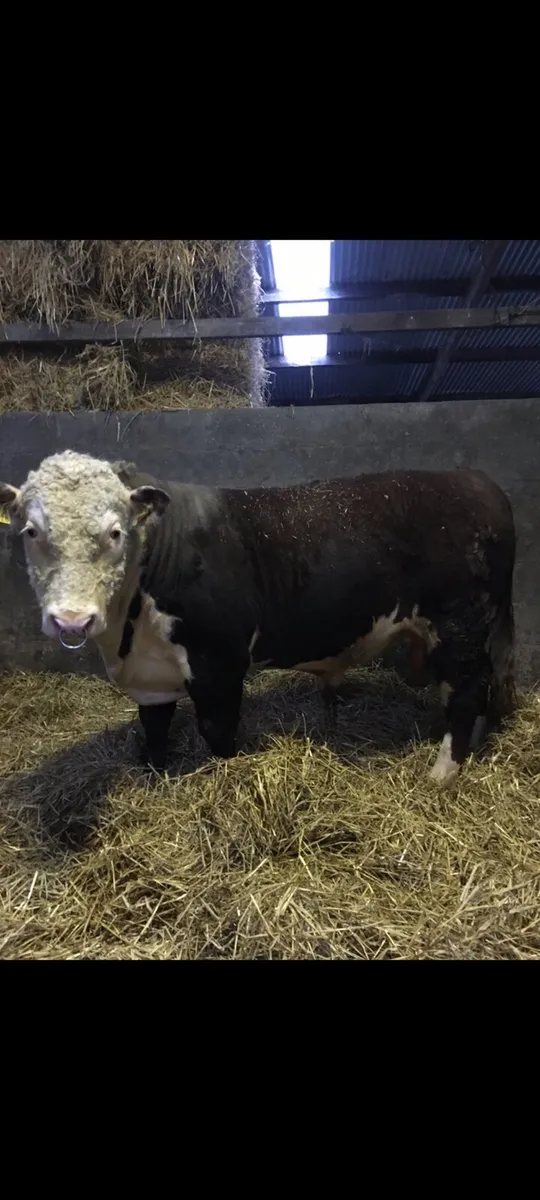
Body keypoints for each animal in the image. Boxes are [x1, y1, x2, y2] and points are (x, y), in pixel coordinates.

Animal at [0, 451, 516, 787]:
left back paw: (442, 772)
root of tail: (474, 480)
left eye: (115, 532)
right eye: (30, 531)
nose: (72, 620)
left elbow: (218, 733)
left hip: (460, 625)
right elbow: (155, 731)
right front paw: (156, 776)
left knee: (466, 692)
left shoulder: (219, 663)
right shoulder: (152, 675)